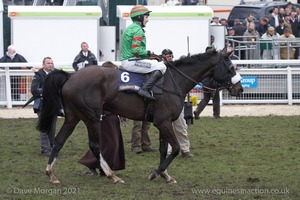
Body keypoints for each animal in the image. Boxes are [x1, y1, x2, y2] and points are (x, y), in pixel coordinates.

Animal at [37, 48, 244, 184]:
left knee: (59, 141)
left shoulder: (163, 123)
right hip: (92, 117)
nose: (240, 89)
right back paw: (112, 175)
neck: (173, 81)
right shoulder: (164, 122)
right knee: (95, 146)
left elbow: (164, 149)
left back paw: (51, 173)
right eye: (231, 68)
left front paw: (165, 175)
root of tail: (70, 76)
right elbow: (176, 148)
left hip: (73, 117)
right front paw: (156, 173)